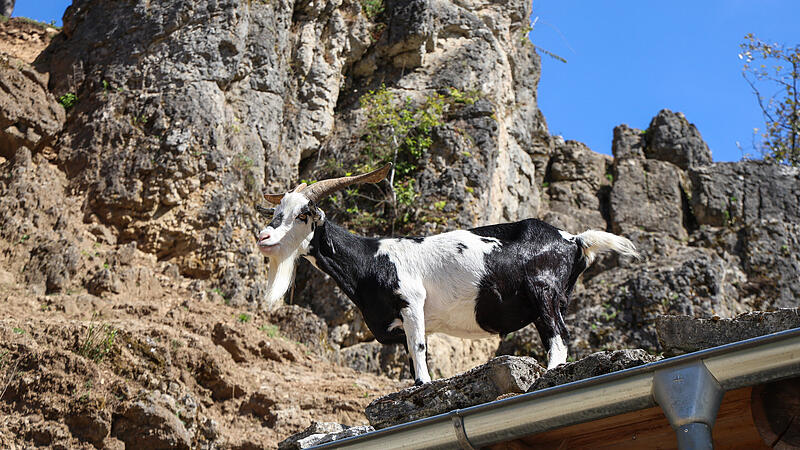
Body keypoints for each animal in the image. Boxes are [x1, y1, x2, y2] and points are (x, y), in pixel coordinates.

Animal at [257, 164, 638, 385]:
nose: (263, 237)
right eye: (276, 212)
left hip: (544, 292)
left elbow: (419, 348)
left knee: (557, 336)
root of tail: (574, 239)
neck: (372, 259)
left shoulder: (411, 303)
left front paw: (424, 386)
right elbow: (412, 355)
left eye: (304, 215)